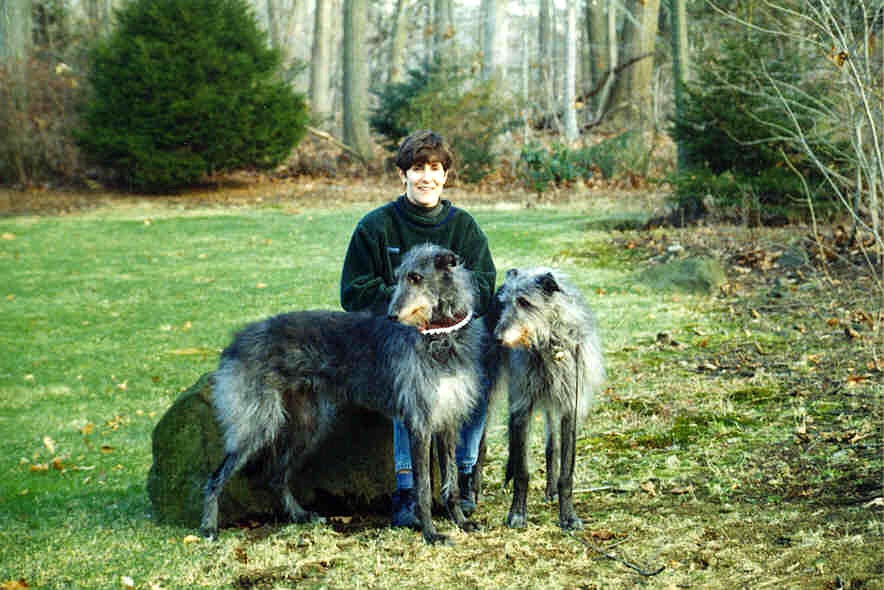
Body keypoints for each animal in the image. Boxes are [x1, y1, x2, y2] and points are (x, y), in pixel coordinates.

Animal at [199, 244, 484, 544]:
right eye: (398, 277)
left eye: (416, 277)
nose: (391, 316)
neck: (440, 336)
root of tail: (233, 344)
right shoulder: (420, 421)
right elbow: (424, 488)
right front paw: (430, 533)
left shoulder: (448, 419)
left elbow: (451, 480)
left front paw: (461, 521)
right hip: (258, 423)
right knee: (215, 478)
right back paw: (208, 527)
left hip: (309, 425)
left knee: (276, 475)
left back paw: (300, 515)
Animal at [490, 270, 608, 536]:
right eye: (504, 302)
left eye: (524, 302)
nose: (497, 338)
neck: (548, 344)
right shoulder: (522, 406)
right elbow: (522, 471)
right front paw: (517, 513)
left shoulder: (570, 407)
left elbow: (567, 472)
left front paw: (568, 516)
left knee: (551, 447)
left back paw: (551, 489)